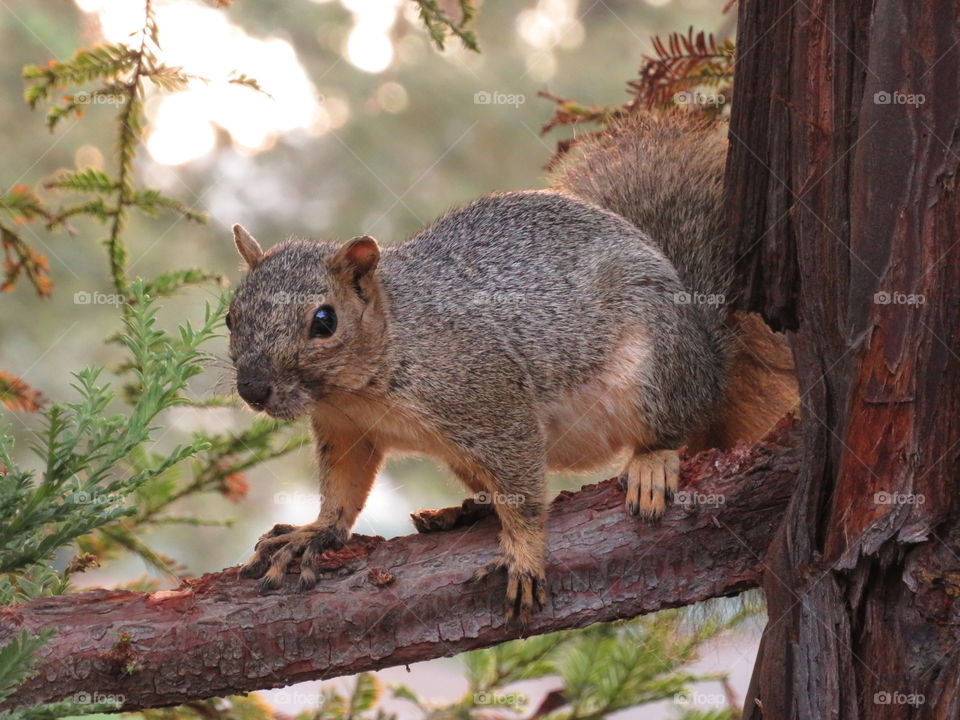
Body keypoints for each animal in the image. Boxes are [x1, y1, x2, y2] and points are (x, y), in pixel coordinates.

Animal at [223, 109, 796, 620]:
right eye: (231, 315)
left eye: (324, 321)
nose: (253, 389)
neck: (360, 382)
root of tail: (708, 357)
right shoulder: (346, 429)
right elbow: (343, 489)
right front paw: (315, 532)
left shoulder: (489, 398)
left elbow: (522, 493)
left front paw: (523, 553)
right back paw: (461, 512)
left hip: (658, 373)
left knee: (675, 425)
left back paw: (651, 463)